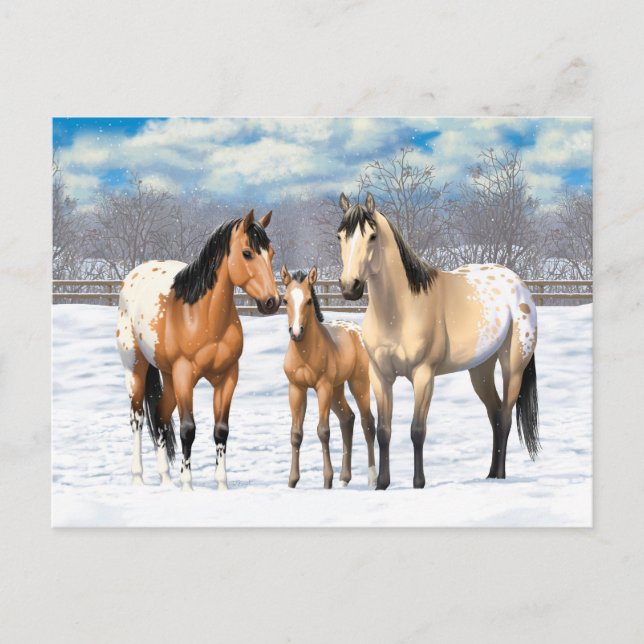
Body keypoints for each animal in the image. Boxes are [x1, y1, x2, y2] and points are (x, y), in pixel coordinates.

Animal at [117, 209, 280, 491]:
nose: (273, 301)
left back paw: (165, 479)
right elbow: (188, 429)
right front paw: (187, 485)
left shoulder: (227, 377)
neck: (202, 317)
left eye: (271, 253)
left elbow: (221, 430)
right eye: (247, 252)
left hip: (168, 376)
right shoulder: (184, 375)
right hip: (136, 368)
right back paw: (138, 478)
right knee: (137, 418)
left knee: (160, 417)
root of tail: (134, 275)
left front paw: (222, 485)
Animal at [280, 265, 377, 489]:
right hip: (336, 389)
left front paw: (327, 480)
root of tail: (356, 330)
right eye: (285, 300)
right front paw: (292, 481)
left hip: (358, 384)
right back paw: (344, 478)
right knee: (347, 419)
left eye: (309, 300)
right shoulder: (296, 388)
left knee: (367, 422)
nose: (296, 332)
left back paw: (372, 479)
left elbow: (323, 431)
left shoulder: (322, 387)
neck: (305, 353)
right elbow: (295, 434)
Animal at [337, 193, 539, 489]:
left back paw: (500, 476)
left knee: (504, 416)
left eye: (372, 236)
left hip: (512, 367)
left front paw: (418, 483)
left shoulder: (423, 375)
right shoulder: (380, 376)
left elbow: (417, 430)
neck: (400, 310)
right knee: (494, 415)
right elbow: (384, 430)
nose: (349, 287)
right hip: (480, 370)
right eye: (340, 236)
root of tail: (519, 284)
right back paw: (490, 474)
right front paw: (382, 484)